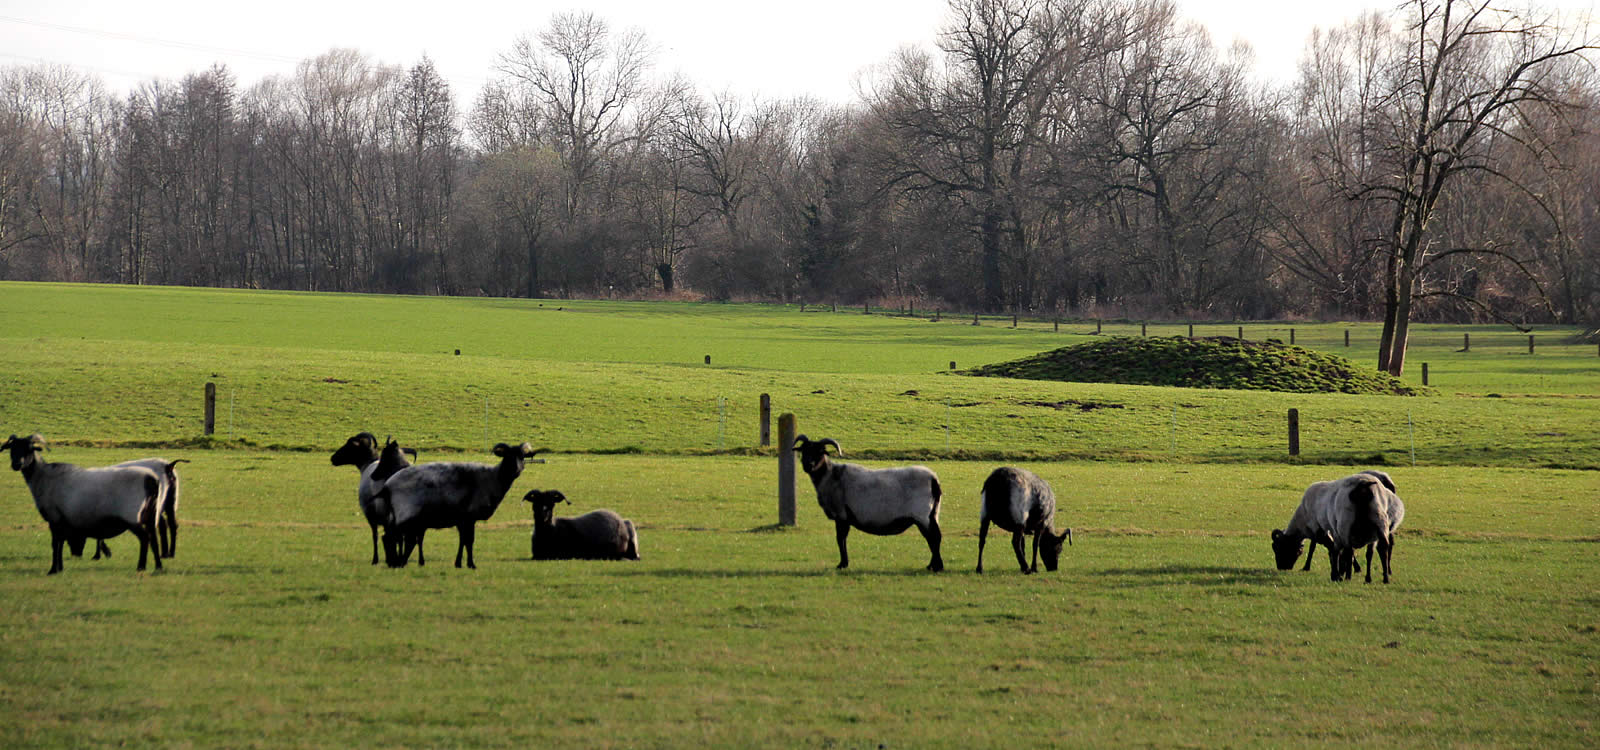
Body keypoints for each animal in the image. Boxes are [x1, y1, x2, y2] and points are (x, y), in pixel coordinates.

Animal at [3, 431, 162, 572]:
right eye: (12, 448)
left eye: (29, 449)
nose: (16, 464)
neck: (42, 476)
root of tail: (151, 480)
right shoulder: (63, 521)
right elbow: (61, 543)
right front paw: (60, 568)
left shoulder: (54, 518)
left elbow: (55, 544)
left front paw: (53, 570)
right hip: (150, 513)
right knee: (153, 538)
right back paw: (158, 567)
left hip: (132, 516)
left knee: (144, 538)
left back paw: (141, 567)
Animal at [329, 431, 419, 562]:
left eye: (350, 444)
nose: (333, 458)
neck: (367, 465)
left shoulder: (371, 514)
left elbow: (375, 536)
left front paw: (375, 559)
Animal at [376, 438, 544, 566]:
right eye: (508, 456)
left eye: (522, 456)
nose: (516, 469)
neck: (493, 478)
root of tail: (388, 485)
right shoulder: (469, 517)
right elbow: (469, 541)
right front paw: (471, 564)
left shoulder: (463, 520)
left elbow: (463, 540)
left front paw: (459, 563)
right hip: (406, 514)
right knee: (393, 537)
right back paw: (396, 562)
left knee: (392, 537)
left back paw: (394, 562)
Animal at [793, 434, 940, 569]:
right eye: (804, 450)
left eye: (820, 451)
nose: (808, 465)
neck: (831, 476)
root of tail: (933, 479)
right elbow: (842, 539)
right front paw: (844, 563)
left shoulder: (841, 515)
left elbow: (840, 539)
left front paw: (842, 564)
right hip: (933, 513)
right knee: (936, 536)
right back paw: (934, 566)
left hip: (922, 515)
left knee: (933, 537)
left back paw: (935, 567)